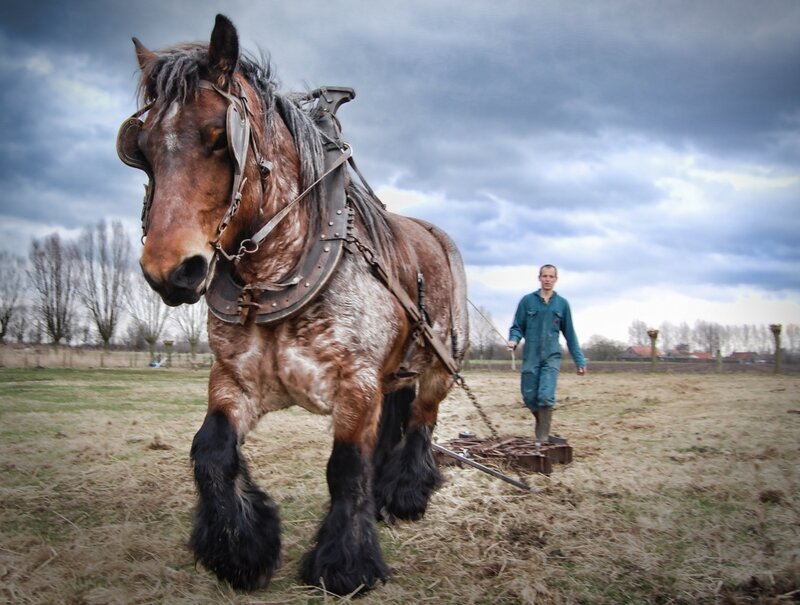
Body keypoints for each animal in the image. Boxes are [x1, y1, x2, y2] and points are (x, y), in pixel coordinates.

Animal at [116, 14, 469, 596]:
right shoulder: (235, 380)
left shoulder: (356, 386)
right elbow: (210, 451)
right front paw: (239, 550)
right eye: (140, 149)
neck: (277, 275)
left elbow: (346, 468)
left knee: (422, 419)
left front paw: (344, 566)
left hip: (441, 363)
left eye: (220, 137)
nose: (170, 270)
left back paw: (405, 495)